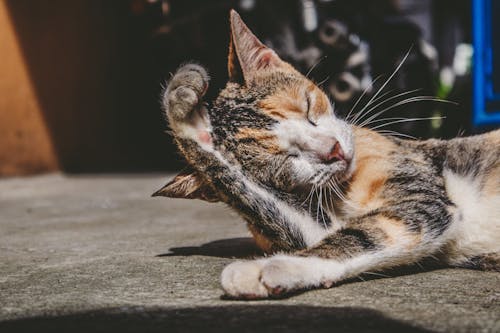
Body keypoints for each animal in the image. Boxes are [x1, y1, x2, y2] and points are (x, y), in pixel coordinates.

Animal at [153, 11, 500, 300]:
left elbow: (358, 236)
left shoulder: (421, 196)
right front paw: (193, 123)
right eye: (285, 160)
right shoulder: (317, 225)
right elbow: (339, 233)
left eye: (308, 108)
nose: (333, 150)